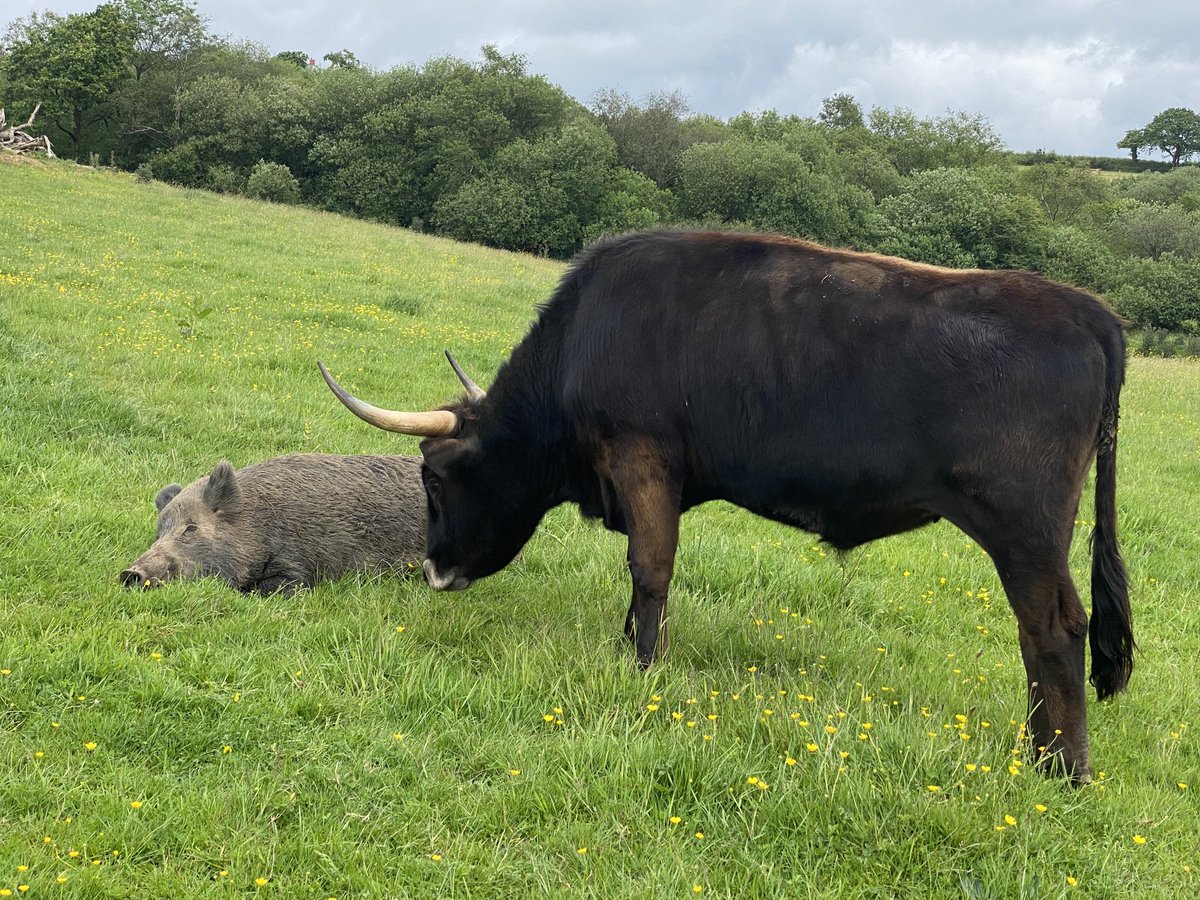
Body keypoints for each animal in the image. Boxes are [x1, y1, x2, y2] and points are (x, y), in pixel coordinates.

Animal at [316, 230, 1123, 782]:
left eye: (433, 479)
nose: (433, 571)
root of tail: (1084, 309)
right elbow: (642, 572)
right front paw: (629, 649)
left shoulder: (642, 457)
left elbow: (650, 569)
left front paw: (643, 672)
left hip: (1023, 529)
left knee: (1055, 630)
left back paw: (1062, 766)